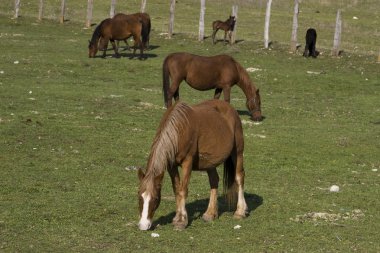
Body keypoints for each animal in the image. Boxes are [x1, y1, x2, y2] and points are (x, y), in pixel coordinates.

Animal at [138, 100, 248, 230]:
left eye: (155, 198)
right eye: (139, 196)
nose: (143, 225)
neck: (179, 129)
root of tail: (231, 109)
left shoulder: (187, 162)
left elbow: (182, 190)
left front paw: (181, 221)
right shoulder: (171, 165)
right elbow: (177, 189)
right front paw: (177, 218)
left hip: (237, 152)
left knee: (239, 177)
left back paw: (240, 212)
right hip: (210, 162)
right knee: (214, 181)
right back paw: (210, 214)